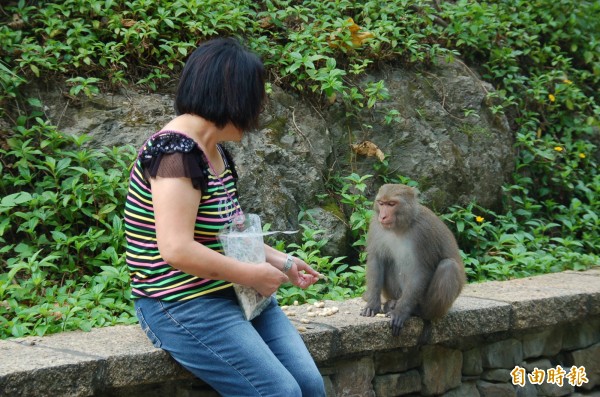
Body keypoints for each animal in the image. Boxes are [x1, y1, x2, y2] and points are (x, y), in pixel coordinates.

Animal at [358, 184, 466, 336]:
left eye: (392, 204)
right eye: (381, 203)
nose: (383, 216)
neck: (400, 226)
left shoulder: (423, 233)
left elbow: (421, 271)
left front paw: (400, 312)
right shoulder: (375, 225)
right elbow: (376, 260)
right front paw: (372, 305)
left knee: (449, 267)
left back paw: (418, 311)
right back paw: (391, 303)